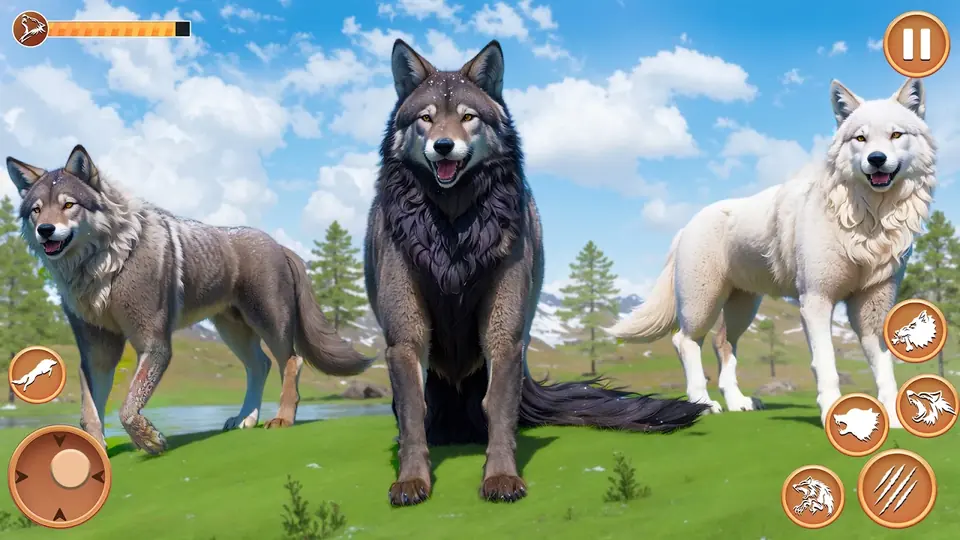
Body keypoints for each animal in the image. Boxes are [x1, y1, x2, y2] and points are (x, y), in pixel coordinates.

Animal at [6, 146, 372, 454]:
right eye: (36, 210)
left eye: (69, 204)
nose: (45, 230)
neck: (103, 268)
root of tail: (278, 245)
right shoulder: (97, 352)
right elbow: (90, 412)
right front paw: (94, 452)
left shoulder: (154, 344)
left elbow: (128, 407)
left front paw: (149, 440)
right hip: (233, 332)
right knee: (261, 365)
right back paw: (245, 419)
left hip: (270, 323)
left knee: (290, 362)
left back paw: (282, 418)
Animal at [365, 39, 708, 507]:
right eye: (426, 118)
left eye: (468, 117)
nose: (443, 146)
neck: (453, 228)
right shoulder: (405, 338)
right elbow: (414, 413)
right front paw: (412, 481)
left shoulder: (504, 336)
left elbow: (498, 408)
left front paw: (501, 476)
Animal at [608, 78, 935, 428]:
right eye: (860, 138)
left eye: (896, 135)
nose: (876, 159)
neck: (870, 217)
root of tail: (686, 226)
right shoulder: (816, 300)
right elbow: (826, 362)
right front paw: (833, 413)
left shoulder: (872, 306)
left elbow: (884, 367)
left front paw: (894, 418)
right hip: (702, 302)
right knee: (685, 341)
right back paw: (703, 403)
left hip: (743, 306)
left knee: (722, 343)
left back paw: (738, 402)